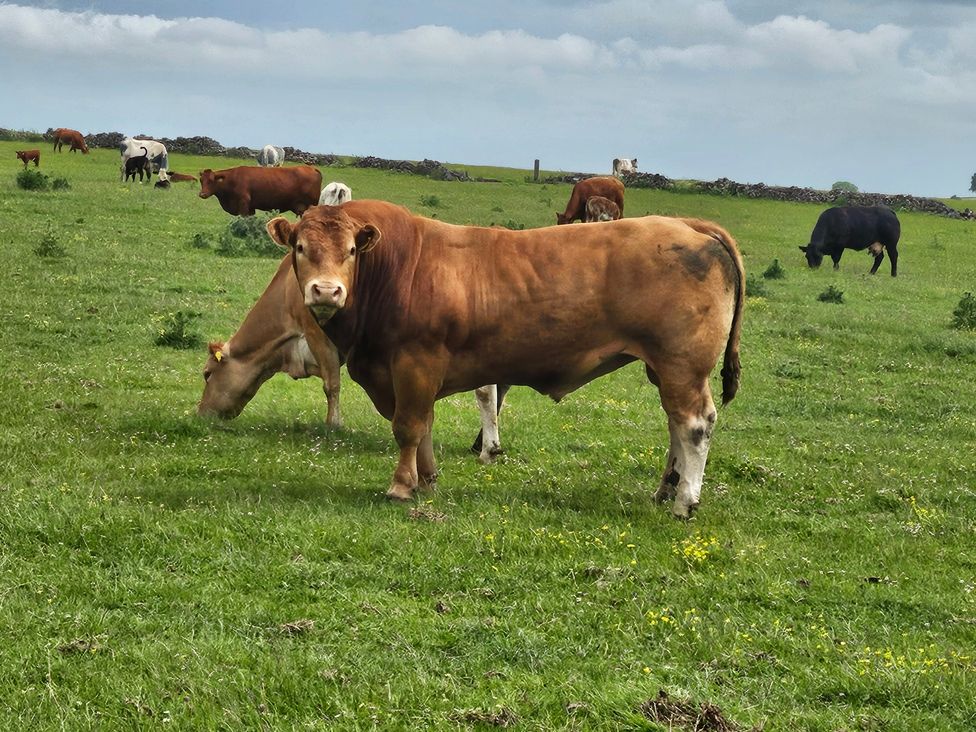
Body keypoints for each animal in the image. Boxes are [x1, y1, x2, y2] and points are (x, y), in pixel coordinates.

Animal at [198, 254, 506, 462]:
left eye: (207, 374)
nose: (200, 414)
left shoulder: (318, 335)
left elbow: (331, 384)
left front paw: (333, 425)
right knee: (488, 390)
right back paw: (489, 447)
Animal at [265, 201, 744, 518]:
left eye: (350, 251)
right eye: (300, 247)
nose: (327, 291)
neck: (396, 266)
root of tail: (686, 224)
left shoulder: (415, 362)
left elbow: (408, 426)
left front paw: (402, 486)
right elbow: (425, 425)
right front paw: (427, 479)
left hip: (682, 366)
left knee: (694, 425)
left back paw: (685, 501)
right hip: (665, 369)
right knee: (675, 426)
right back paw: (665, 490)